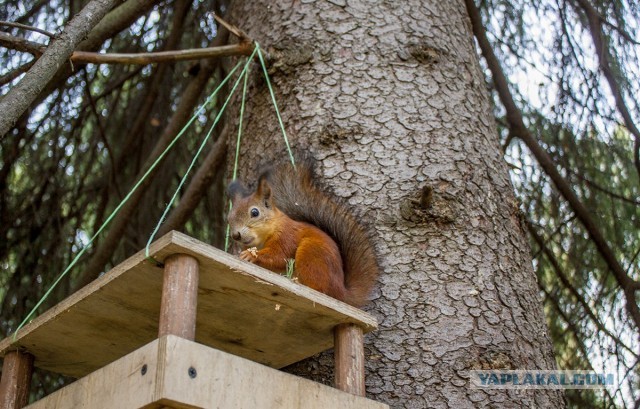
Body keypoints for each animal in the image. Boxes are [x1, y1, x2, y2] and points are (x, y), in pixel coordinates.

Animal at [228, 159, 380, 306]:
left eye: (255, 212)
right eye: (229, 217)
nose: (236, 235)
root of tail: (341, 292)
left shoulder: (286, 236)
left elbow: (279, 256)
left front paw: (251, 255)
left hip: (311, 252)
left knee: (319, 288)